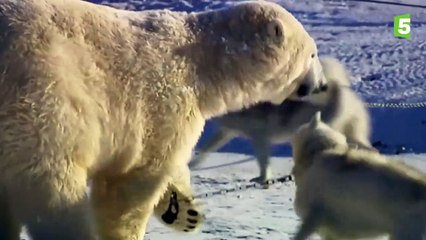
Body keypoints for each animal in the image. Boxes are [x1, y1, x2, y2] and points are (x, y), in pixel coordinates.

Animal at [0, 0, 326, 239]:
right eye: (312, 54)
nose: (322, 84)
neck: (201, 62)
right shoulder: (160, 104)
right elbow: (133, 183)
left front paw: (183, 210)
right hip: (44, 96)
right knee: (55, 187)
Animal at [190, 56, 372, 184]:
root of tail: (342, 92)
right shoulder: (228, 131)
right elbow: (206, 148)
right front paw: (192, 164)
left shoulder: (259, 137)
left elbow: (264, 162)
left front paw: (263, 179)